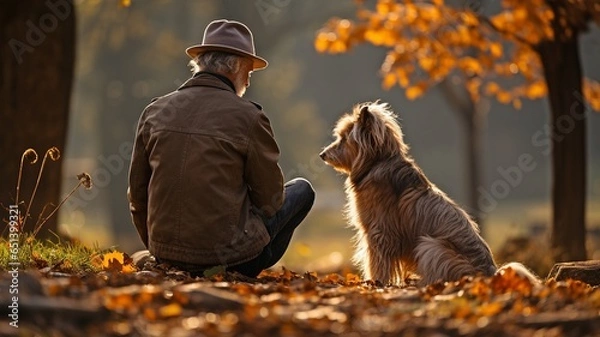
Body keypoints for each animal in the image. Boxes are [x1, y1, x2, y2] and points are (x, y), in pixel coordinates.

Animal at [322, 101, 500, 284]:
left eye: (344, 138)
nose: (322, 154)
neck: (377, 162)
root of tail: (488, 273)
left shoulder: (379, 232)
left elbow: (377, 262)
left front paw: (376, 281)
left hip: (431, 246)